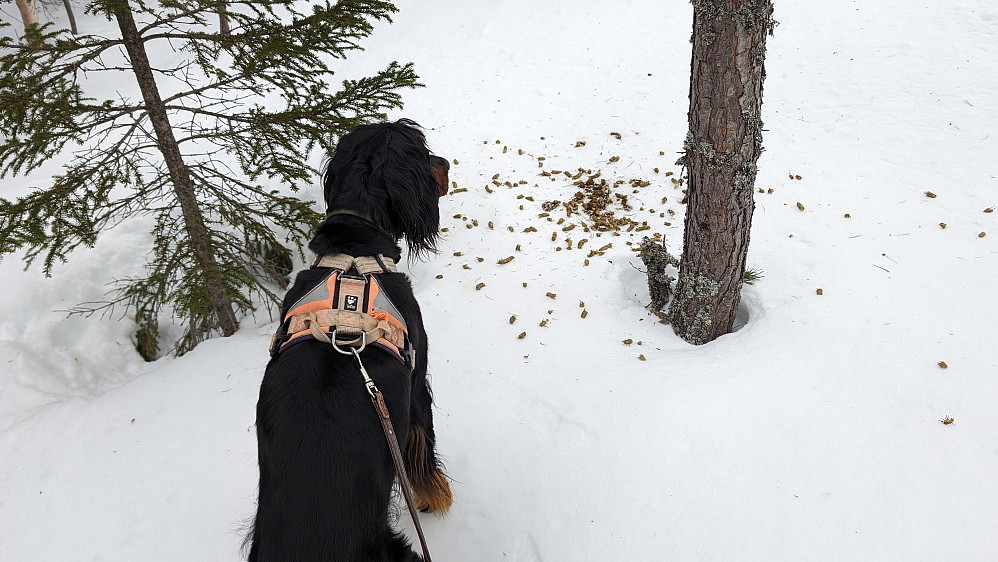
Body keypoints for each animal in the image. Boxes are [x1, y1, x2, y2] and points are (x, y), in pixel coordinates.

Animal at [250, 120, 454, 556]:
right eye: (421, 149)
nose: (446, 163)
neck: (353, 258)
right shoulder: (417, 382)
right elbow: (422, 443)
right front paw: (434, 498)